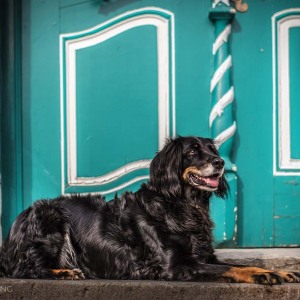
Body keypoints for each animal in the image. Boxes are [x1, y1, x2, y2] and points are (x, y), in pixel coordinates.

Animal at [0, 136, 298, 284]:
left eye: (212, 149)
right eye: (193, 151)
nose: (221, 162)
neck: (181, 207)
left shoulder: (205, 256)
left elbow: (237, 263)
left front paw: (282, 273)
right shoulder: (177, 265)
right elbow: (230, 269)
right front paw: (263, 274)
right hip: (48, 216)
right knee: (24, 269)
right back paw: (65, 272)